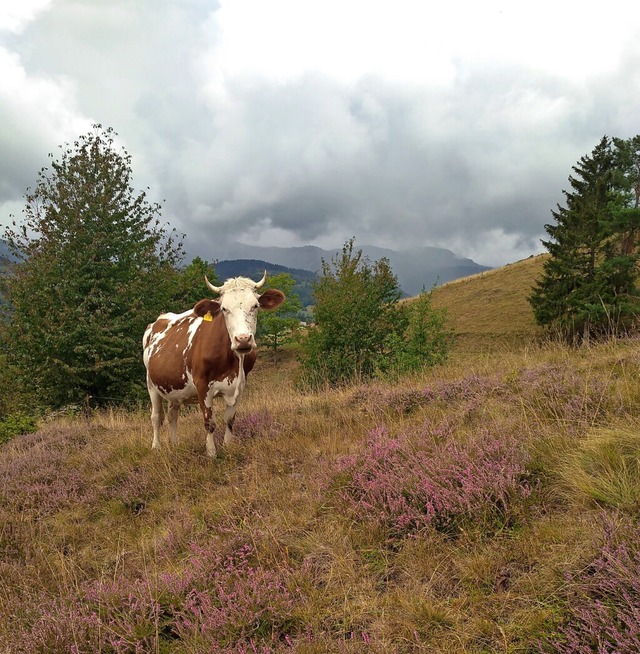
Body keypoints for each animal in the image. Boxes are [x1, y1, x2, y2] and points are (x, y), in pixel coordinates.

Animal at [146, 274, 286, 458]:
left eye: (255, 306)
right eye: (224, 309)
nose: (243, 339)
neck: (233, 363)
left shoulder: (240, 385)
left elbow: (230, 419)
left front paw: (228, 447)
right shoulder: (202, 384)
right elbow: (209, 422)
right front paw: (211, 452)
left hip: (173, 386)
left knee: (172, 414)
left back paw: (175, 444)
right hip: (151, 384)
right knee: (156, 417)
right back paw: (156, 446)